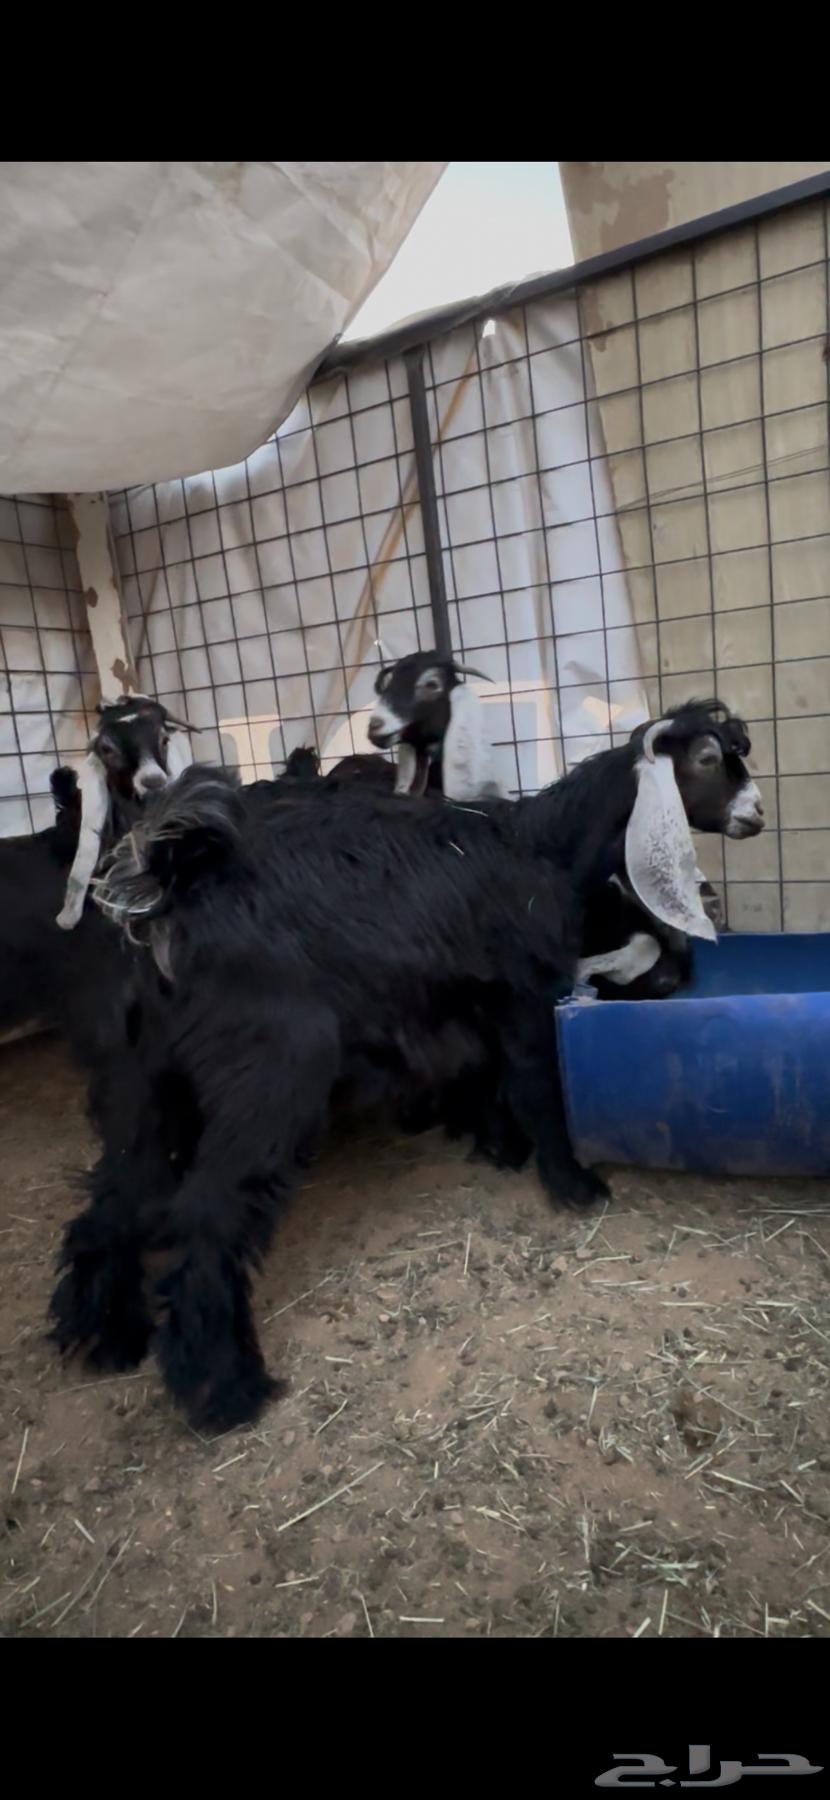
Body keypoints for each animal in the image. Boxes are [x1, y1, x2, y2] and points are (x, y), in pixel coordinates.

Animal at [50, 698, 762, 1431]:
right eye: (707, 758)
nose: (757, 815)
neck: (544, 849)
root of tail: (168, 897)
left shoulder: (467, 1004)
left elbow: (489, 1080)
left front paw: (500, 1148)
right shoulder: (522, 994)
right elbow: (537, 1088)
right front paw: (573, 1184)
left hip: (140, 1078)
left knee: (117, 1193)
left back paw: (107, 1335)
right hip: (269, 1072)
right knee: (207, 1216)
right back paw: (226, 1387)